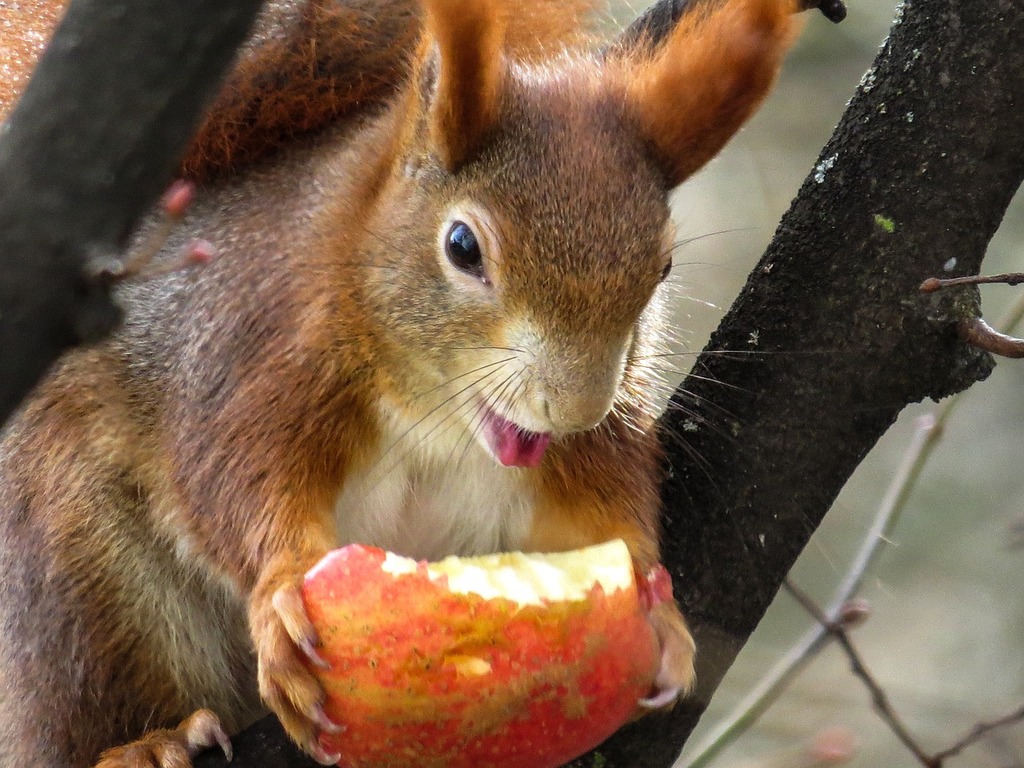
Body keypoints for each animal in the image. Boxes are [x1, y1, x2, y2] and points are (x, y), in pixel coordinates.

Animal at [0, 0, 804, 765]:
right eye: (463, 246)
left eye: (662, 267)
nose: (575, 408)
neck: (439, 416)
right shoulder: (254, 364)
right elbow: (234, 484)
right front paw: (282, 591)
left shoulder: (606, 435)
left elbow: (607, 515)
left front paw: (657, 613)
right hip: (85, 578)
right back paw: (147, 743)